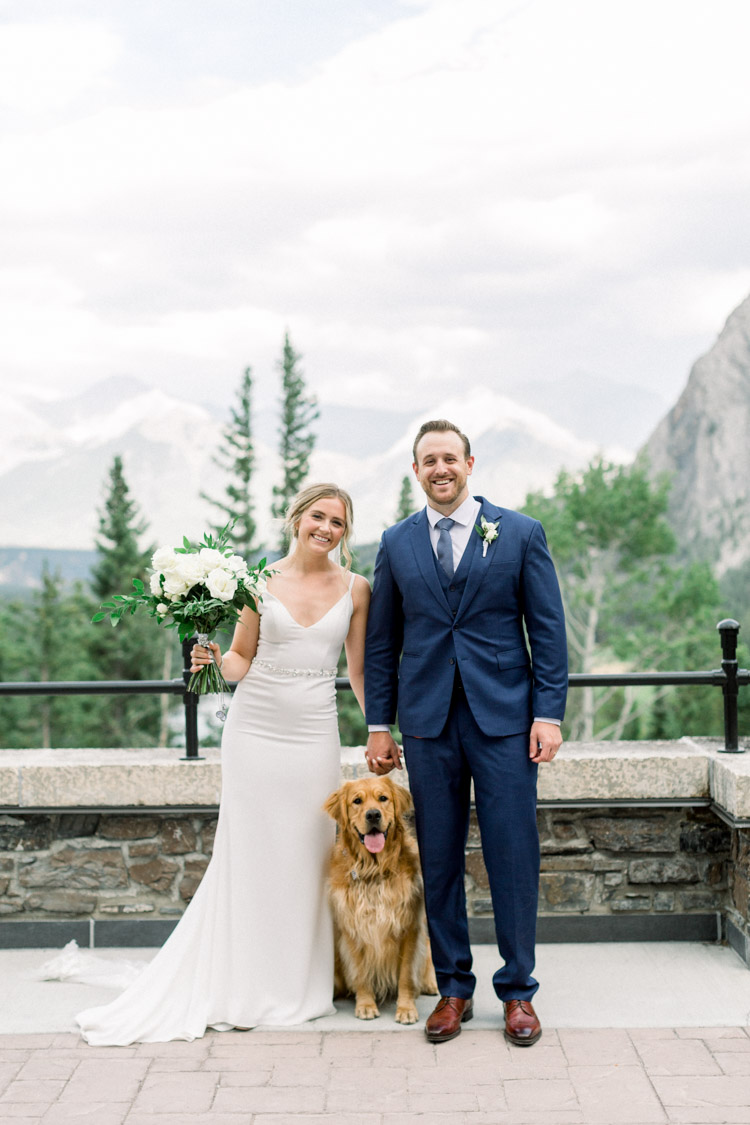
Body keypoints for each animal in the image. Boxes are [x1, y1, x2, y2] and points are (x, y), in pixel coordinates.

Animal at [321, 778, 436, 1026]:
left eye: (383, 798)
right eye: (357, 801)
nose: (373, 815)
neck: (374, 869)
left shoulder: (409, 928)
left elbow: (406, 975)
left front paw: (406, 1009)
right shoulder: (353, 928)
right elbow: (361, 973)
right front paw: (366, 1005)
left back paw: (431, 983)